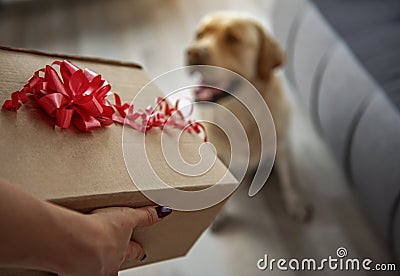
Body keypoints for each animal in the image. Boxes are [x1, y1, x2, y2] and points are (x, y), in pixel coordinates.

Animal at [186, 11, 310, 221]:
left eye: (233, 39)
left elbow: (288, 179)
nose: (192, 53)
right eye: (199, 34)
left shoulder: (282, 148)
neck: (240, 115)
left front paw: (294, 202)